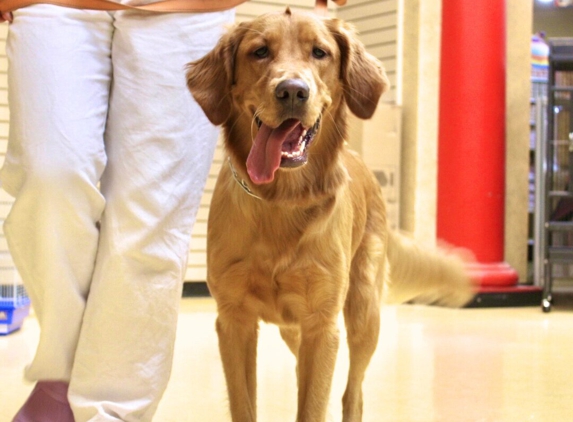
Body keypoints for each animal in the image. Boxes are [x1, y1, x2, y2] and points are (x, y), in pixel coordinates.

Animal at [187, 9, 474, 422]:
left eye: (320, 52)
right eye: (259, 51)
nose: (292, 91)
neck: (280, 199)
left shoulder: (321, 324)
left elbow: (314, 406)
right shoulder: (234, 321)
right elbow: (246, 404)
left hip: (363, 314)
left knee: (353, 392)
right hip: (294, 327)